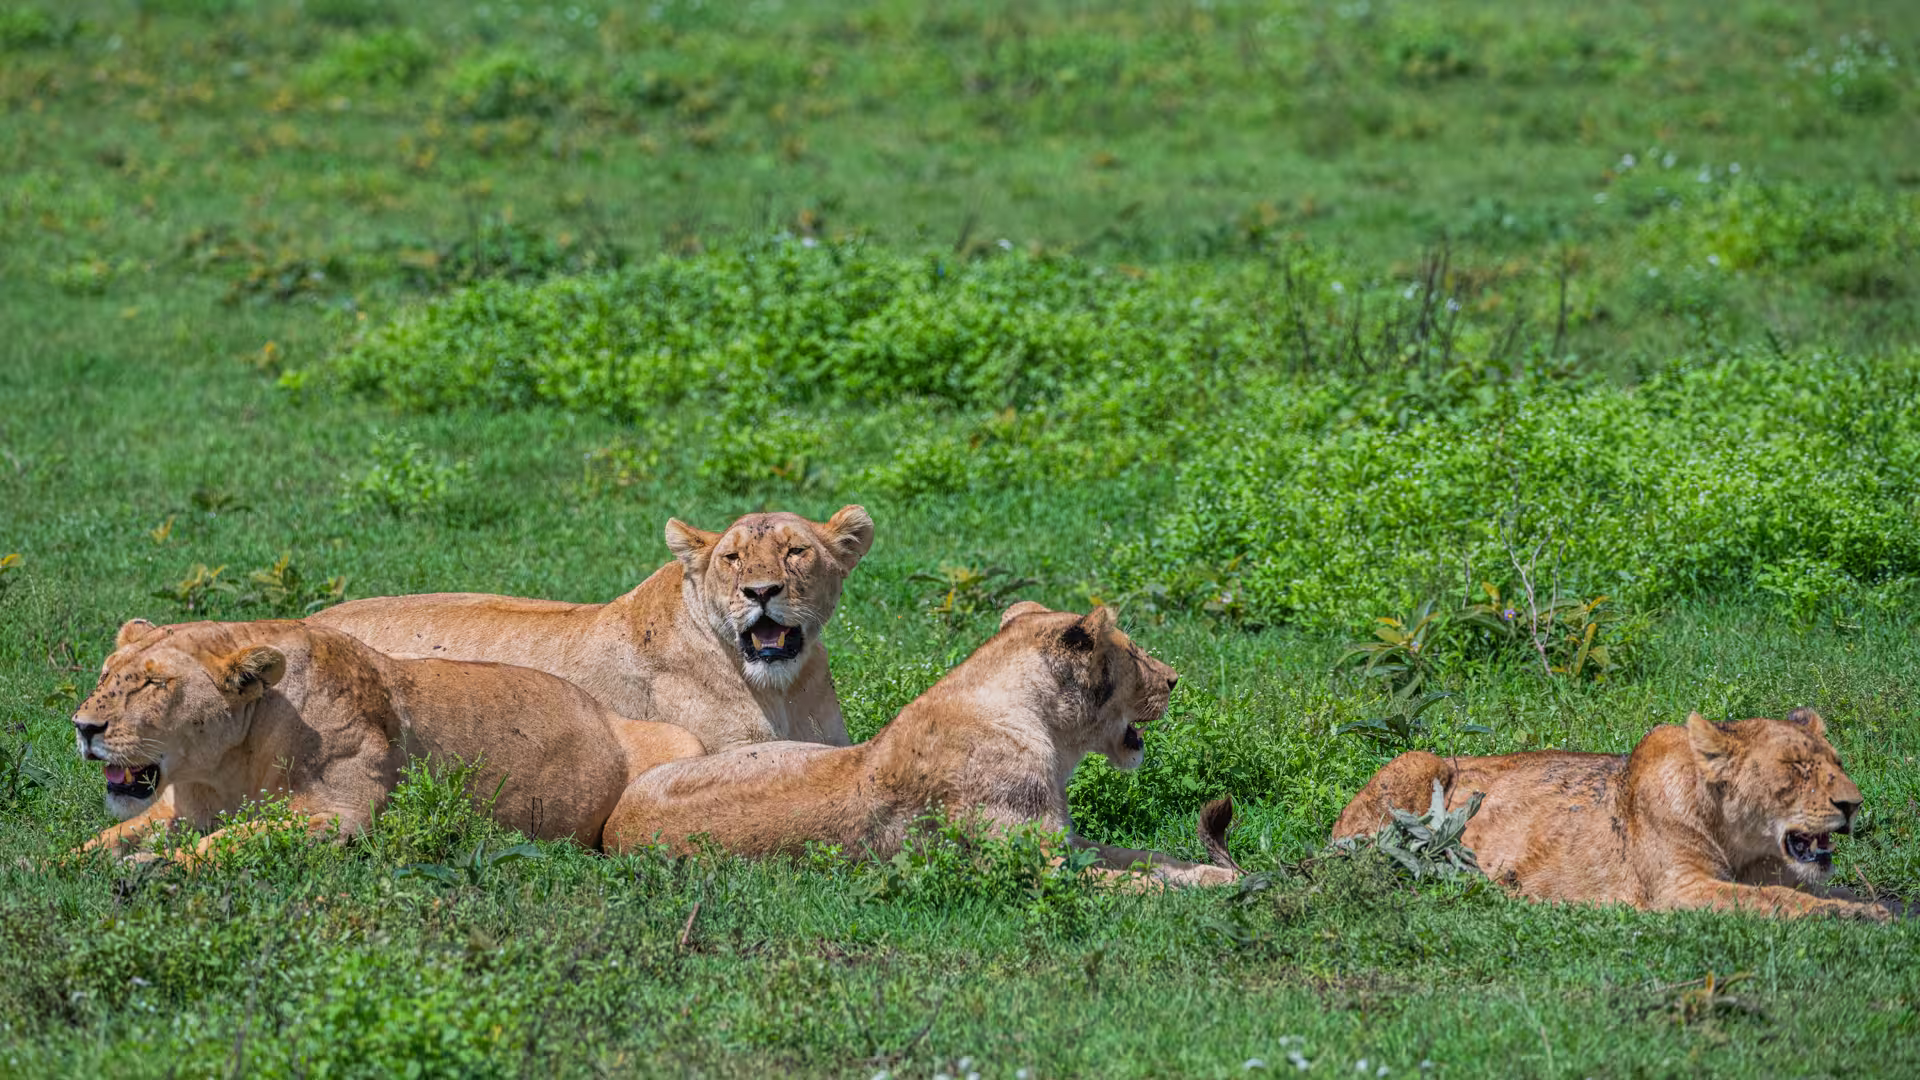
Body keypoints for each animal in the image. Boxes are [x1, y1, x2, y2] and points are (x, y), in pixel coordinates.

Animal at [73, 618, 704, 861]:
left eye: (154, 683)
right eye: (106, 676)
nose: (83, 728)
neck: (223, 766)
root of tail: (606, 713)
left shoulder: (343, 816)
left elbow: (224, 844)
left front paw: (154, 866)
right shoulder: (181, 810)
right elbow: (109, 837)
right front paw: (61, 865)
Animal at [604, 601, 1240, 887]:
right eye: (1133, 653)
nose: (1174, 679)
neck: (1046, 730)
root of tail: (612, 827)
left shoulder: (1067, 838)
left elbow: (1145, 858)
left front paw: (1222, 876)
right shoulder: (1036, 867)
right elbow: (1136, 884)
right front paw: (1214, 891)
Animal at [1331, 709, 1889, 920]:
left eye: (1837, 763)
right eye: (1796, 768)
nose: (1853, 804)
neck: (1743, 843)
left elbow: (1819, 891)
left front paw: (1868, 907)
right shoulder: (1680, 891)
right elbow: (1776, 901)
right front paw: (1862, 917)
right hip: (1419, 763)